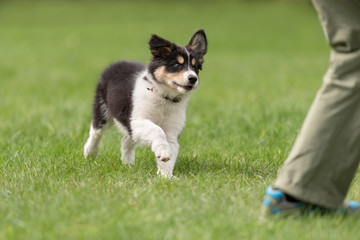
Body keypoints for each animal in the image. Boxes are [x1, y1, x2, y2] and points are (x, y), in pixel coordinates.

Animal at [84, 29, 207, 177]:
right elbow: (157, 130)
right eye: (177, 65)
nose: (193, 78)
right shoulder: (136, 120)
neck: (164, 97)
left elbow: (169, 155)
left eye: (195, 67)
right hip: (102, 109)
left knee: (126, 140)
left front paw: (166, 177)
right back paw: (90, 152)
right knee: (96, 132)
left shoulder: (172, 130)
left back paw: (128, 164)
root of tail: (118, 62)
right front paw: (163, 152)